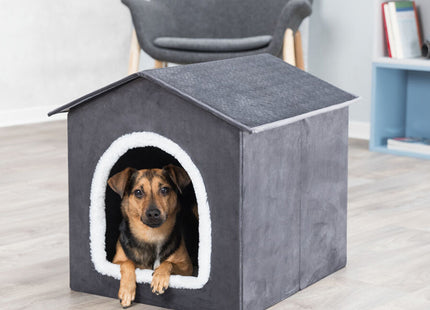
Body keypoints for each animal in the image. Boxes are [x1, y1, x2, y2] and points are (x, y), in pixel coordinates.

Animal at [107, 165, 195, 308]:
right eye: (138, 192)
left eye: (164, 190)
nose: (153, 213)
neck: (152, 235)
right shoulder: (114, 262)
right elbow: (127, 262)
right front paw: (126, 291)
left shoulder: (187, 267)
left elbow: (168, 262)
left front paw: (159, 278)